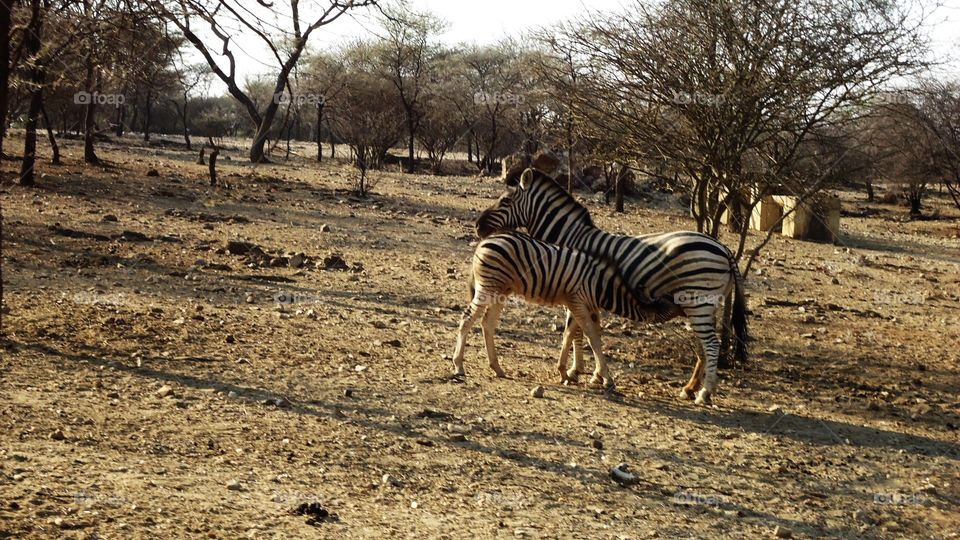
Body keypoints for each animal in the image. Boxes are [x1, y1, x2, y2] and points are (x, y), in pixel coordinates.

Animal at [451, 231, 680, 387]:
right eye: (674, 305)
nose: (687, 307)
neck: (601, 286)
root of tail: (483, 242)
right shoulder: (578, 300)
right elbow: (592, 338)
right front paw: (606, 378)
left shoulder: (575, 303)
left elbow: (570, 335)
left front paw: (564, 372)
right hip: (489, 286)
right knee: (467, 318)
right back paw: (459, 366)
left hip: (501, 290)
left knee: (487, 323)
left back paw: (497, 368)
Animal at [476, 168, 748, 405]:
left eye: (504, 201)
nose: (478, 226)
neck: (569, 239)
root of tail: (723, 248)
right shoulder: (586, 293)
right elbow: (588, 331)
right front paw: (593, 373)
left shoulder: (572, 287)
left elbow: (575, 331)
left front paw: (574, 372)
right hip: (703, 305)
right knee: (704, 345)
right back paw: (690, 388)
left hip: (698, 302)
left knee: (711, 344)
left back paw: (704, 393)